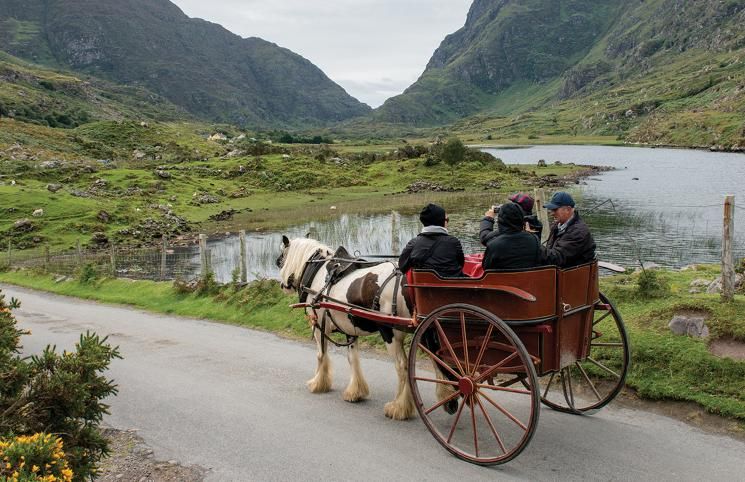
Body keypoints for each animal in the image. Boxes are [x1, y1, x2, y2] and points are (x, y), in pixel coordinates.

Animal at [278, 235, 422, 420]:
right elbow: (353, 358)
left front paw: (318, 383)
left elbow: (321, 355)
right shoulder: (349, 329)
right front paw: (355, 392)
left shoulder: (318, 326)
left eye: (281, 258)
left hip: (390, 333)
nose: (283, 285)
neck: (318, 273)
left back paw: (399, 407)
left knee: (402, 366)